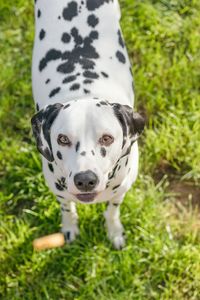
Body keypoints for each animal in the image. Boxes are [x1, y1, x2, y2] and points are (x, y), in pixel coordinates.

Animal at [31, 0, 145, 248]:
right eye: (63, 139)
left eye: (107, 138)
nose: (85, 180)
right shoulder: (59, 192)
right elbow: (67, 209)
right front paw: (69, 228)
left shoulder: (121, 190)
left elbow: (112, 211)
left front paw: (114, 231)